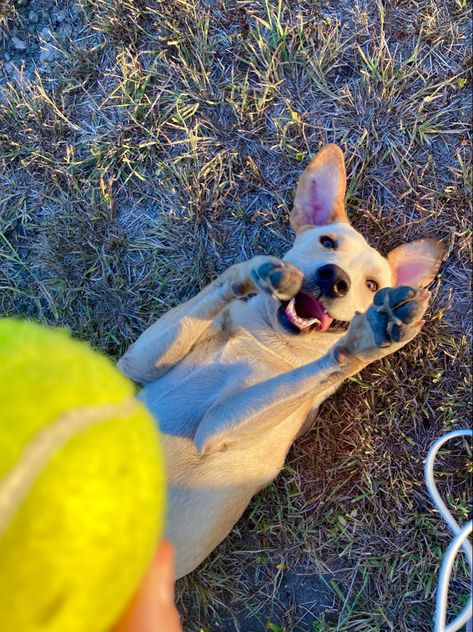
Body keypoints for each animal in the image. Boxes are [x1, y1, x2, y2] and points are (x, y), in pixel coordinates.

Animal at [117, 144, 442, 576]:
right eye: (327, 241)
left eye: (373, 285)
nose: (335, 278)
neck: (267, 342)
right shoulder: (138, 362)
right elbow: (223, 287)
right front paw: (252, 273)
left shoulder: (216, 431)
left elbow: (331, 363)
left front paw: (370, 337)